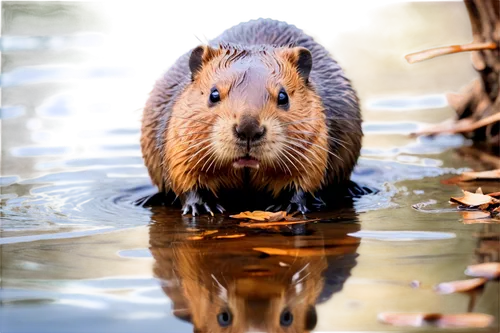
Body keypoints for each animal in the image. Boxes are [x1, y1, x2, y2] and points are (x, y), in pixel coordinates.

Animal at [138, 16, 364, 215]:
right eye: (213, 94)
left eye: (283, 96)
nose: (248, 129)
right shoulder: (177, 135)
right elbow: (182, 173)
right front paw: (201, 207)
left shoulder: (316, 137)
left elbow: (308, 174)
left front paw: (290, 205)